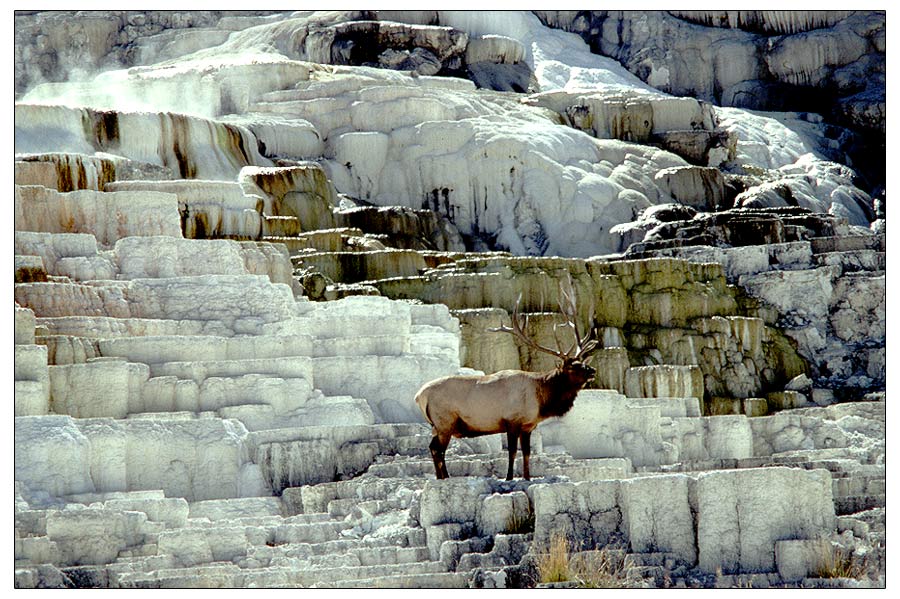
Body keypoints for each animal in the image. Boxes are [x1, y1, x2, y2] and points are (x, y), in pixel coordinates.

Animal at [414, 278, 596, 480]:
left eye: (582, 362)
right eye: (572, 366)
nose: (592, 371)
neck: (541, 399)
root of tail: (419, 396)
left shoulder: (528, 426)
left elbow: (527, 453)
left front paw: (527, 477)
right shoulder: (512, 421)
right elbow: (512, 452)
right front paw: (509, 477)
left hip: (438, 425)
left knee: (434, 448)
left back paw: (443, 477)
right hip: (444, 422)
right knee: (438, 449)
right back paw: (444, 477)